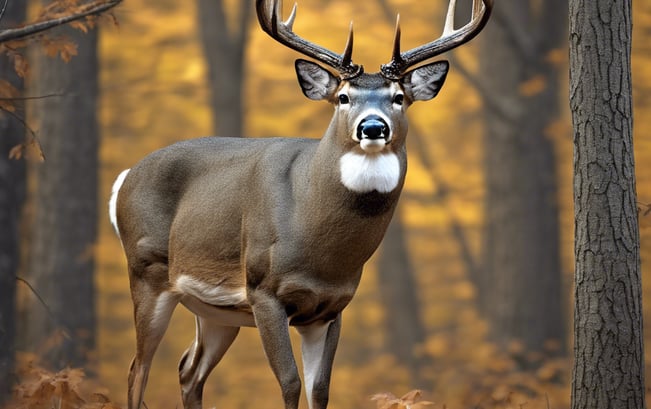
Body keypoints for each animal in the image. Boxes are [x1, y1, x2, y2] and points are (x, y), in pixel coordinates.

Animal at [109, 0, 492, 408]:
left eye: (399, 97)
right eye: (343, 97)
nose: (373, 127)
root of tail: (124, 178)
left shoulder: (331, 307)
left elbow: (320, 388)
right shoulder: (263, 291)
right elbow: (291, 382)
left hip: (216, 310)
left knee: (188, 370)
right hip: (147, 270)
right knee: (137, 370)